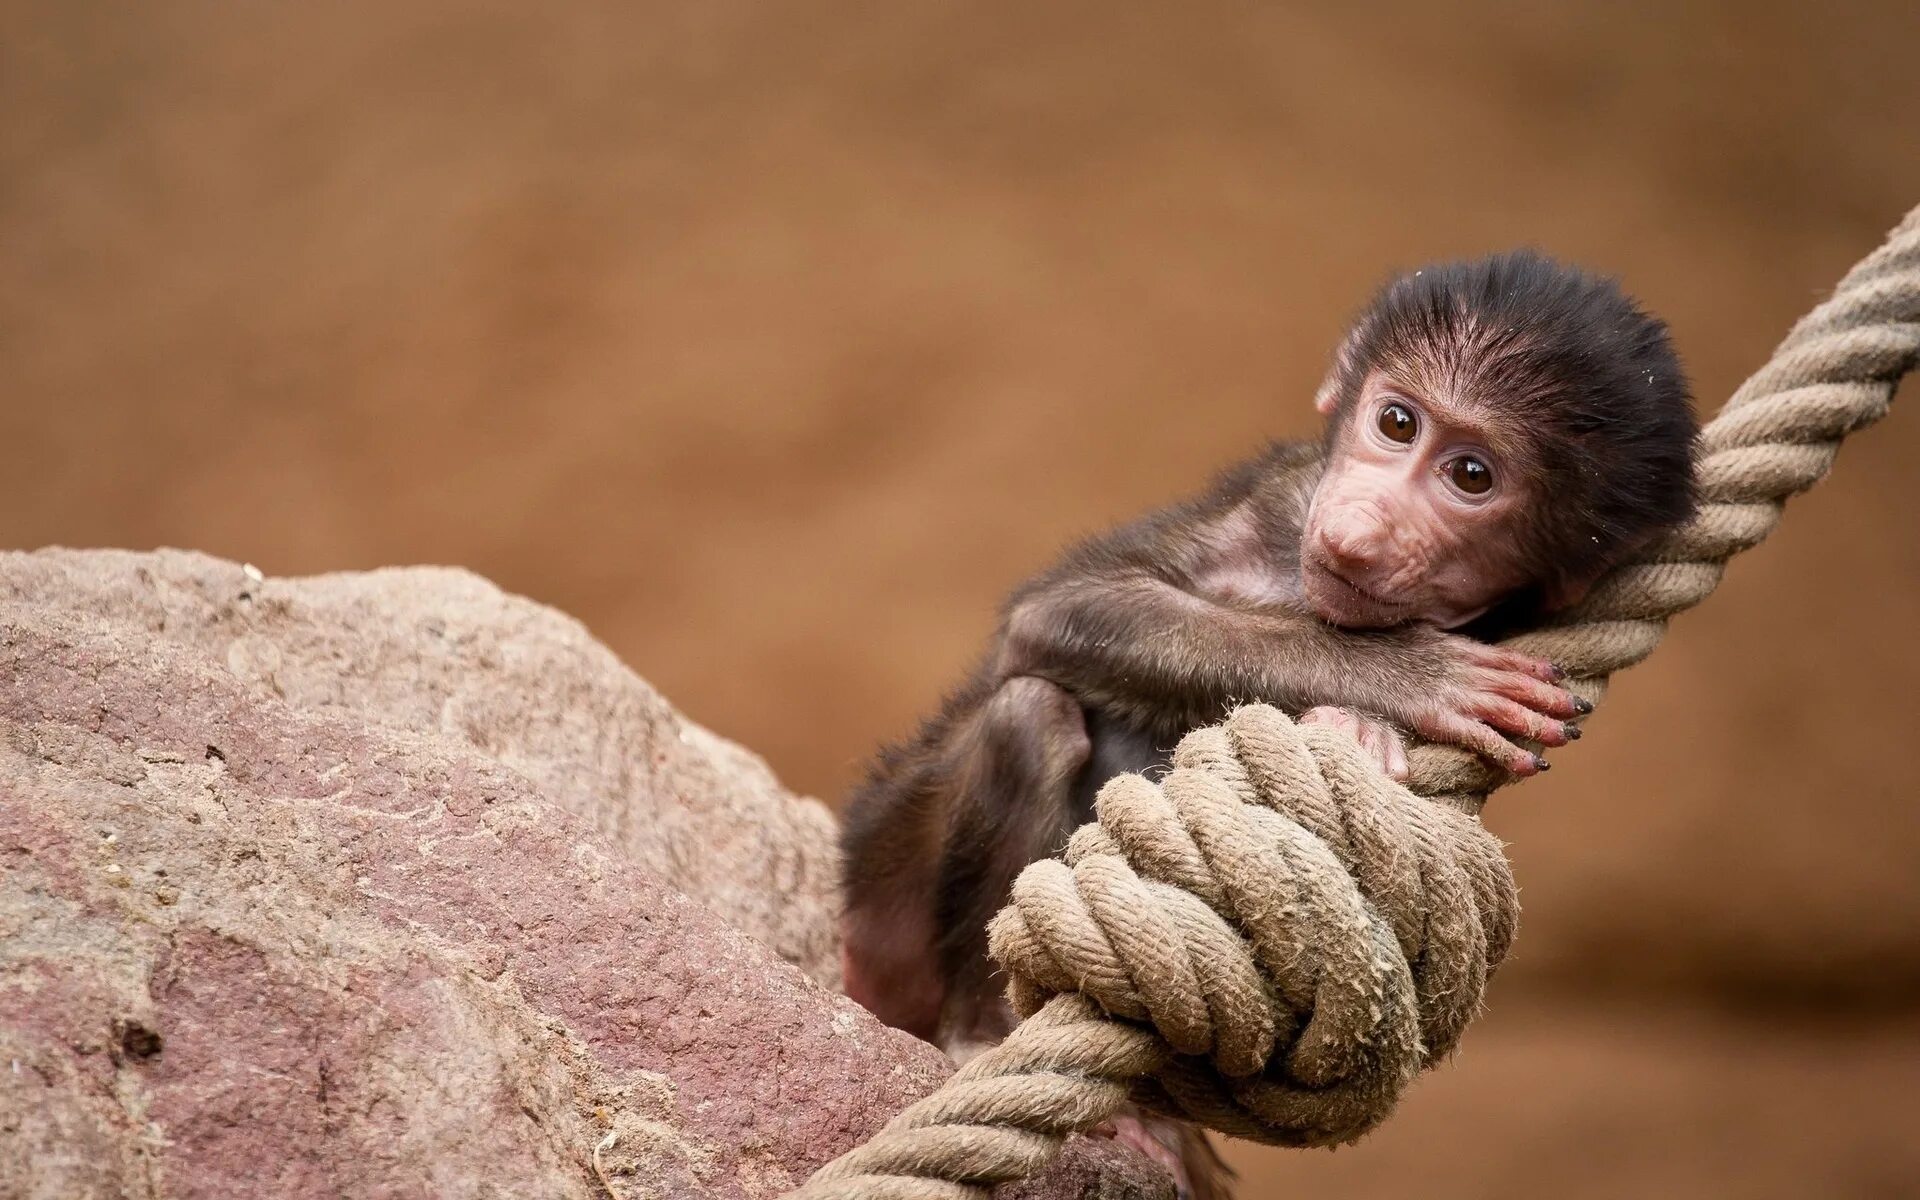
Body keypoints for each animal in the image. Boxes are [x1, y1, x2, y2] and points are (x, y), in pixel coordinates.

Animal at [840, 253, 1697, 1190]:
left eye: (1473, 476)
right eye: (1397, 422)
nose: (1362, 529)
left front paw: (1359, 720)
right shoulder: (1283, 496)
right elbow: (1060, 611)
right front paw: (1402, 679)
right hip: (890, 883)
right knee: (1031, 716)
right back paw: (981, 1033)